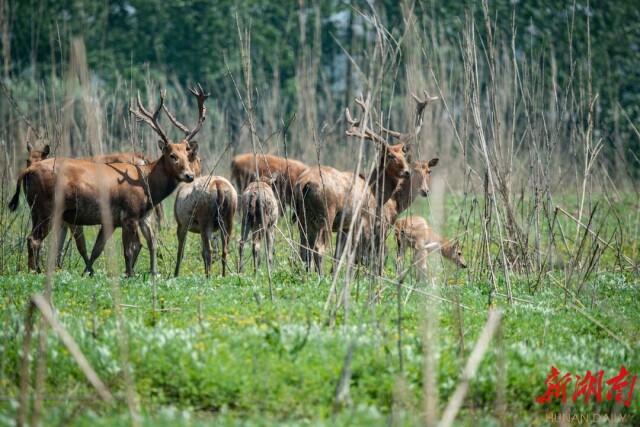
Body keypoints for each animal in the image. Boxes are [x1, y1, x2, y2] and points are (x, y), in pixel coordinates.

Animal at [9, 86, 205, 278]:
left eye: (188, 155)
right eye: (172, 156)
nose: (189, 176)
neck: (146, 183)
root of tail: (29, 170)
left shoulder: (114, 220)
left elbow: (98, 248)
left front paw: (88, 272)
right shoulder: (129, 215)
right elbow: (127, 251)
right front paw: (129, 275)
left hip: (36, 209)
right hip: (47, 207)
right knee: (33, 239)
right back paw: (33, 273)